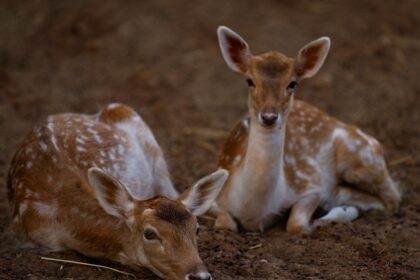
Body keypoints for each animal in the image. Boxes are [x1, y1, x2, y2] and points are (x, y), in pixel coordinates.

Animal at [210, 26, 400, 236]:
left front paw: (334, 214)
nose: (269, 117)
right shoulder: (215, 192)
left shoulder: (308, 184)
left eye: (292, 83)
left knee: (392, 198)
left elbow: (297, 225)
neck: (253, 209)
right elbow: (225, 224)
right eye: (249, 81)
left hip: (362, 157)